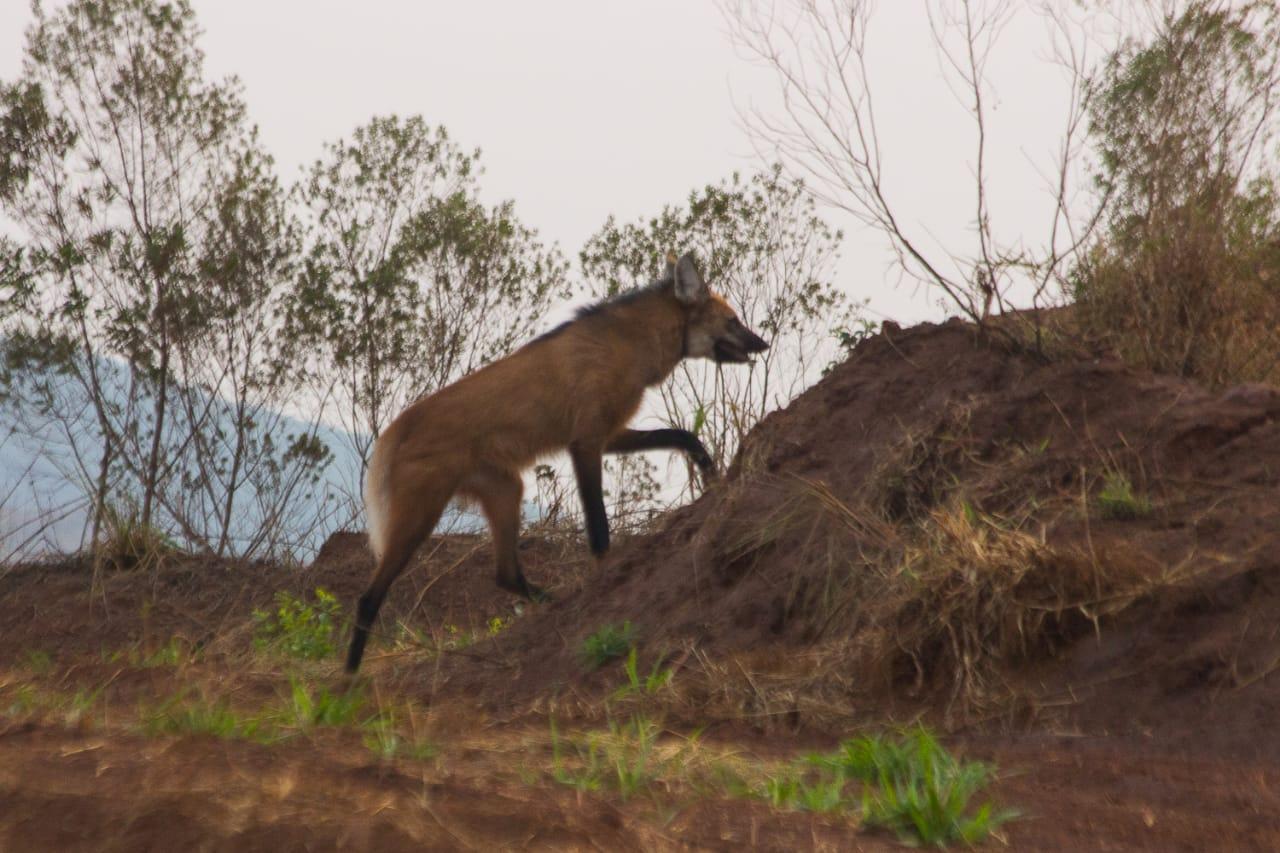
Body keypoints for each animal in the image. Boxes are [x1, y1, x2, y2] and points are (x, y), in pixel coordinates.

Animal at [348, 252, 768, 671]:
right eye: (733, 320)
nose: (763, 344)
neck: (627, 344)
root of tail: (395, 428)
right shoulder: (586, 443)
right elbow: (598, 526)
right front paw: (603, 578)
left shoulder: (609, 435)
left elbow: (684, 435)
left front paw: (711, 473)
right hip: (421, 516)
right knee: (368, 597)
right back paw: (350, 677)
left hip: (506, 490)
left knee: (505, 574)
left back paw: (553, 605)